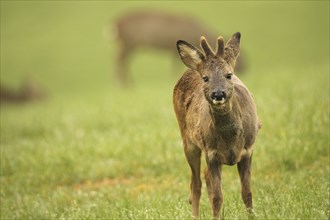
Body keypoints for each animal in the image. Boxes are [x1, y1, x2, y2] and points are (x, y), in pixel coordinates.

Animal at [107, 10, 246, 86]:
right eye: (242, 55)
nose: (246, 67)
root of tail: (115, 23)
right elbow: (176, 66)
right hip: (128, 43)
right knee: (119, 59)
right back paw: (126, 84)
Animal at [173, 31, 260, 219]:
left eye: (229, 75)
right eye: (206, 78)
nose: (218, 94)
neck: (231, 139)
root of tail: (191, 68)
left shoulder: (248, 149)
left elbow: (247, 193)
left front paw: (252, 215)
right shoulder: (211, 152)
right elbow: (217, 197)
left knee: (204, 178)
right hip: (188, 140)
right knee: (196, 184)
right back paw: (195, 216)